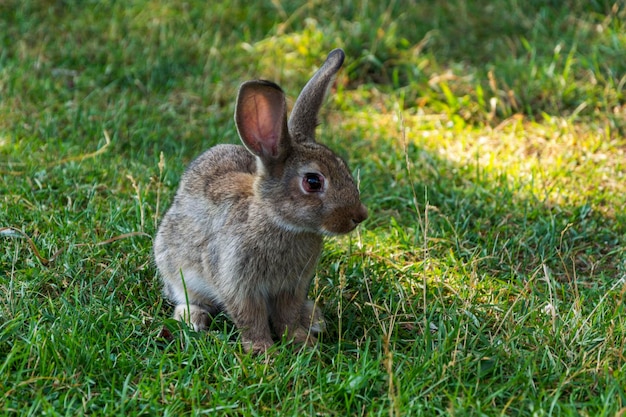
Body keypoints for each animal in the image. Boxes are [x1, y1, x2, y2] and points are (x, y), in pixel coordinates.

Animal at [153, 49, 366, 354]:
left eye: (343, 166)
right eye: (313, 182)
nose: (359, 215)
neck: (279, 222)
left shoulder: (292, 287)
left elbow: (287, 316)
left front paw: (302, 341)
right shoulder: (238, 284)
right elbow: (250, 318)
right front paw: (263, 352)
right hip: (173, 266)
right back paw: (193, 319)